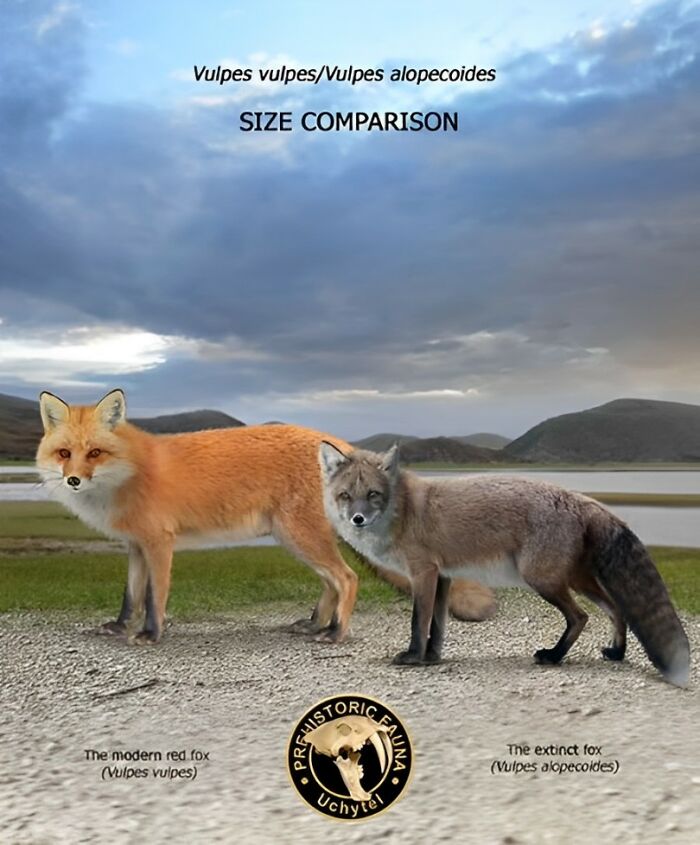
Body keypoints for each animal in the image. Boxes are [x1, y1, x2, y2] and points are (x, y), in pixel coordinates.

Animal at [35, 389, 494, 644]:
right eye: (64, 453)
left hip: (299, 537)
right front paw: (119, 627)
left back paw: (336, 634)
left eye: (96, 453)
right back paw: (315, 625)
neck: (130, 474)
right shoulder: (135, 547)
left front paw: (151, 633)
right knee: (331, 582)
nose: (73, 480)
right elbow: (130, 596)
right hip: (293, 540)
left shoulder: (159, 543)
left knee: (347, 578)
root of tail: (339, 443)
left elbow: (154, 597)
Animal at [319, 442, 691, 687]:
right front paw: (432, 658)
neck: (403, 510)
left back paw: (554, 657)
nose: (357, 520)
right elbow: (437, 626)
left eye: (373, 494)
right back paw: (616, 653)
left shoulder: (423, 573)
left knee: (581, 617)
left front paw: (412, 657)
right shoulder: (444, 576)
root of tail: (582, 498)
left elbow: (418, 621)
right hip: (576, 579)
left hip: (543, 580)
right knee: (616, 610)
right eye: (345, 496)